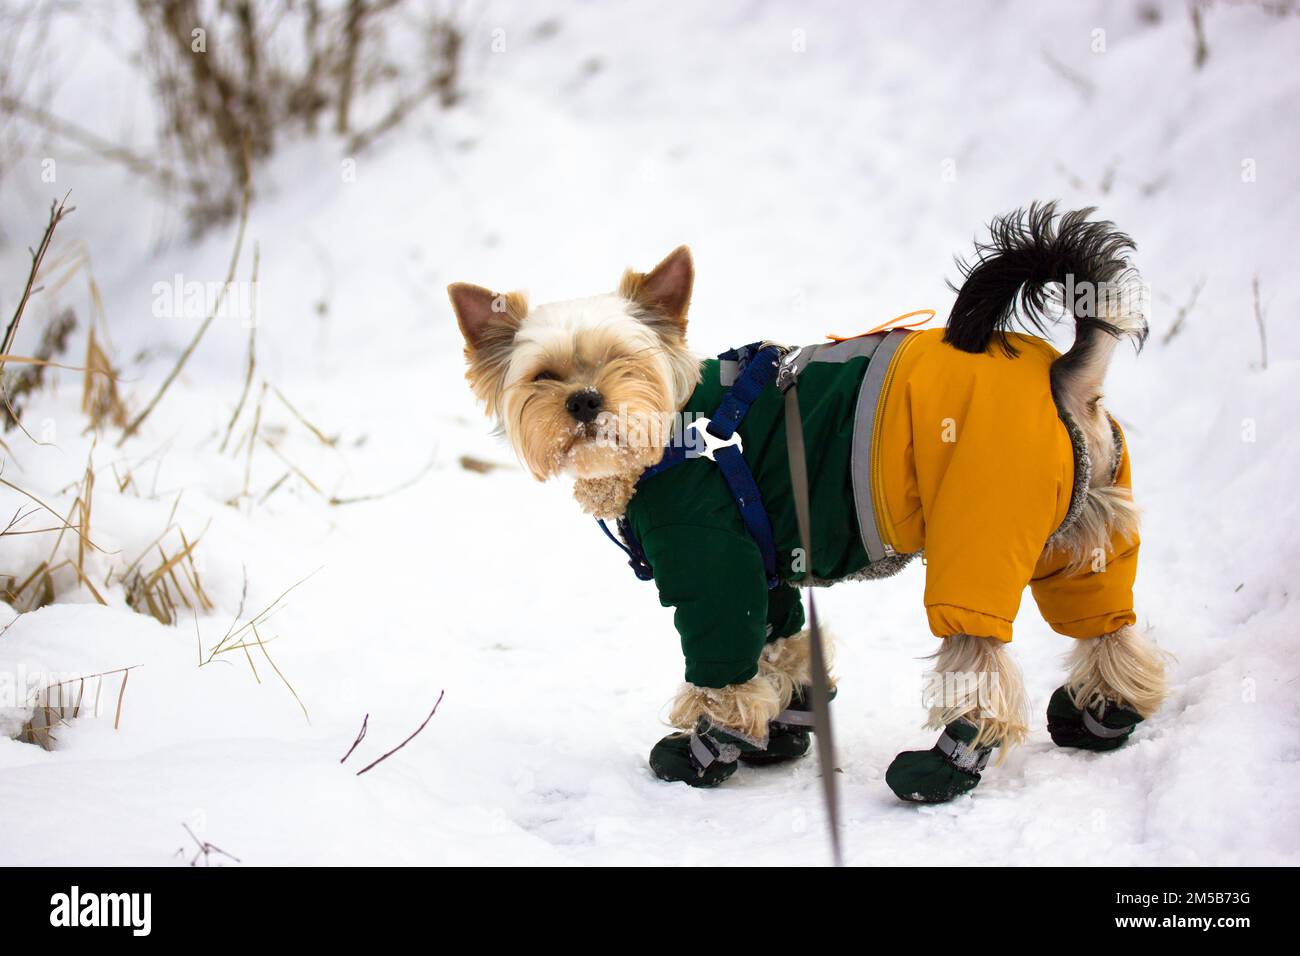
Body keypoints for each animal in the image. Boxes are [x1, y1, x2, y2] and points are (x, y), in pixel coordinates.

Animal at [447, 205, 1170, 806]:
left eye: (623, 361)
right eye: (544, 377)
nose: (585, 401)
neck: (675, 432)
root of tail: (1061, 375)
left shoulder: (712, 564)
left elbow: (725, 665)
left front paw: (709, 747)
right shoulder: (765, 568)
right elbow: (781, 643)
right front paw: (782, 732)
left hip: (980, 534)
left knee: (980, 664)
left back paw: (943, 769)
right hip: (1085, 532)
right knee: (1110, 626)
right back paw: (1105, 715)